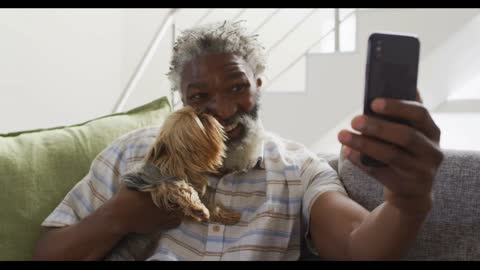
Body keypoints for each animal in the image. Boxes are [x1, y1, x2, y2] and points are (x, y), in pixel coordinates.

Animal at [104, 105, 240, 260]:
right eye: (198, 117)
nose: (205, 112)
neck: (178, 165)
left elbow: (209, 203)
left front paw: (225, 215)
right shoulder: (158, 184)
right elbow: (180, 187)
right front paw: (198, 208)